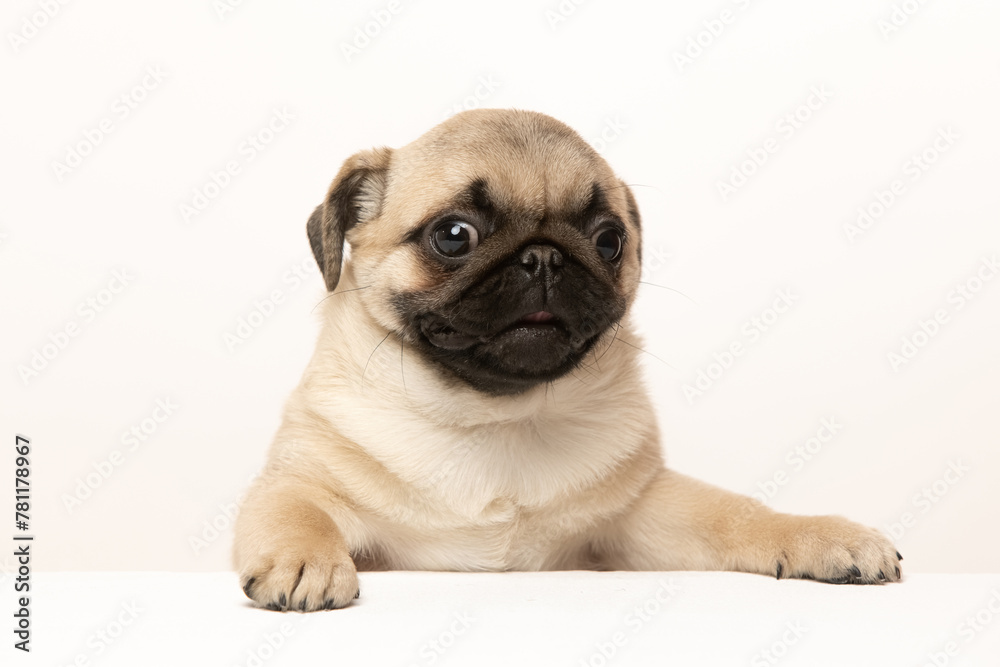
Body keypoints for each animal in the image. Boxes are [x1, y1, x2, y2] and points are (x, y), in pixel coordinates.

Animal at [232, 109, 900, 616]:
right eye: (453, 235)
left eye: (609, 241)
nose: (545, 258)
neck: (493, 416)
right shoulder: (299, 479)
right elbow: (295, 510)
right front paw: (303, 559)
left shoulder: (640, 512)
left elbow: (736, 514)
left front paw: (821, 535)